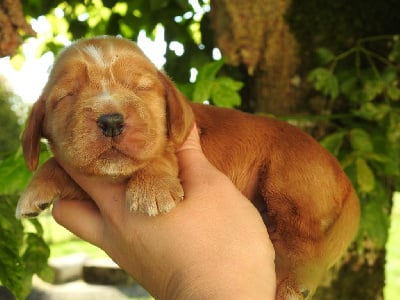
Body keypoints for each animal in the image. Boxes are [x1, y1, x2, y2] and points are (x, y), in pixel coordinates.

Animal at [15, 36, 360, 298]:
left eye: (141, 88)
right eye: (66, 96)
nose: (111, 121)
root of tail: (344, 177)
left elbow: (161, 152)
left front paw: (152, 188)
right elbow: (61, 162)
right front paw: (35, 189)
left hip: (289, 189)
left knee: (308, 246)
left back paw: (293, 284)